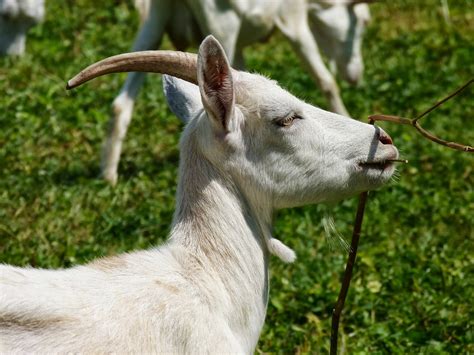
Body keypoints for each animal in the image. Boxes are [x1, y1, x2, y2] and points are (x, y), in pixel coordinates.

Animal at [102, 0, 372, 185]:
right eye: (363, 20)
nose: (356, 77)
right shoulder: (291, 19)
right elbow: (325, 80)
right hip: (222, 28)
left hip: (156, 21)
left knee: (121, 101)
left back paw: (108, 175)